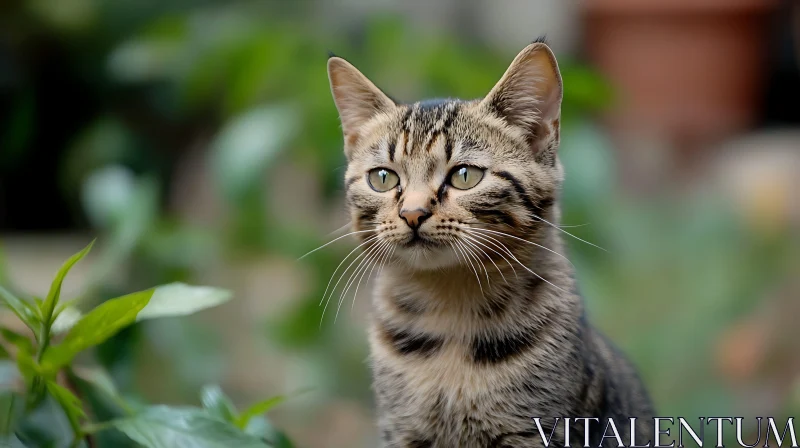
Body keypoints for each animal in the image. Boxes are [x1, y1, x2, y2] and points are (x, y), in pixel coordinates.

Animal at [324, 40, 656, 446]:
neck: (450, 312)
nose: (413, 213)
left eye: (465, 175)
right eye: (383, 178)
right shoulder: (401, 431)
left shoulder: (537, 429)